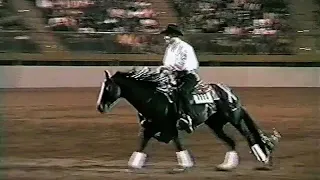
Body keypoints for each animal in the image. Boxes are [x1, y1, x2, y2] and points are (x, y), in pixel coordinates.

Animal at [95, 67, 280, 170]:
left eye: (108, 88)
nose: (100, 107)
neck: (153, 98)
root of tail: (228, 91)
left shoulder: (170, 126)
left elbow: (177, 143)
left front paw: (185, 163)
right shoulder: (150, 127)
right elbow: (142, 145)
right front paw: (134, 164)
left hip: (234, 119)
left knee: (249, 136)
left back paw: (263, 158)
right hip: (216, 124)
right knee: (231, 142)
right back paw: (227, 165)